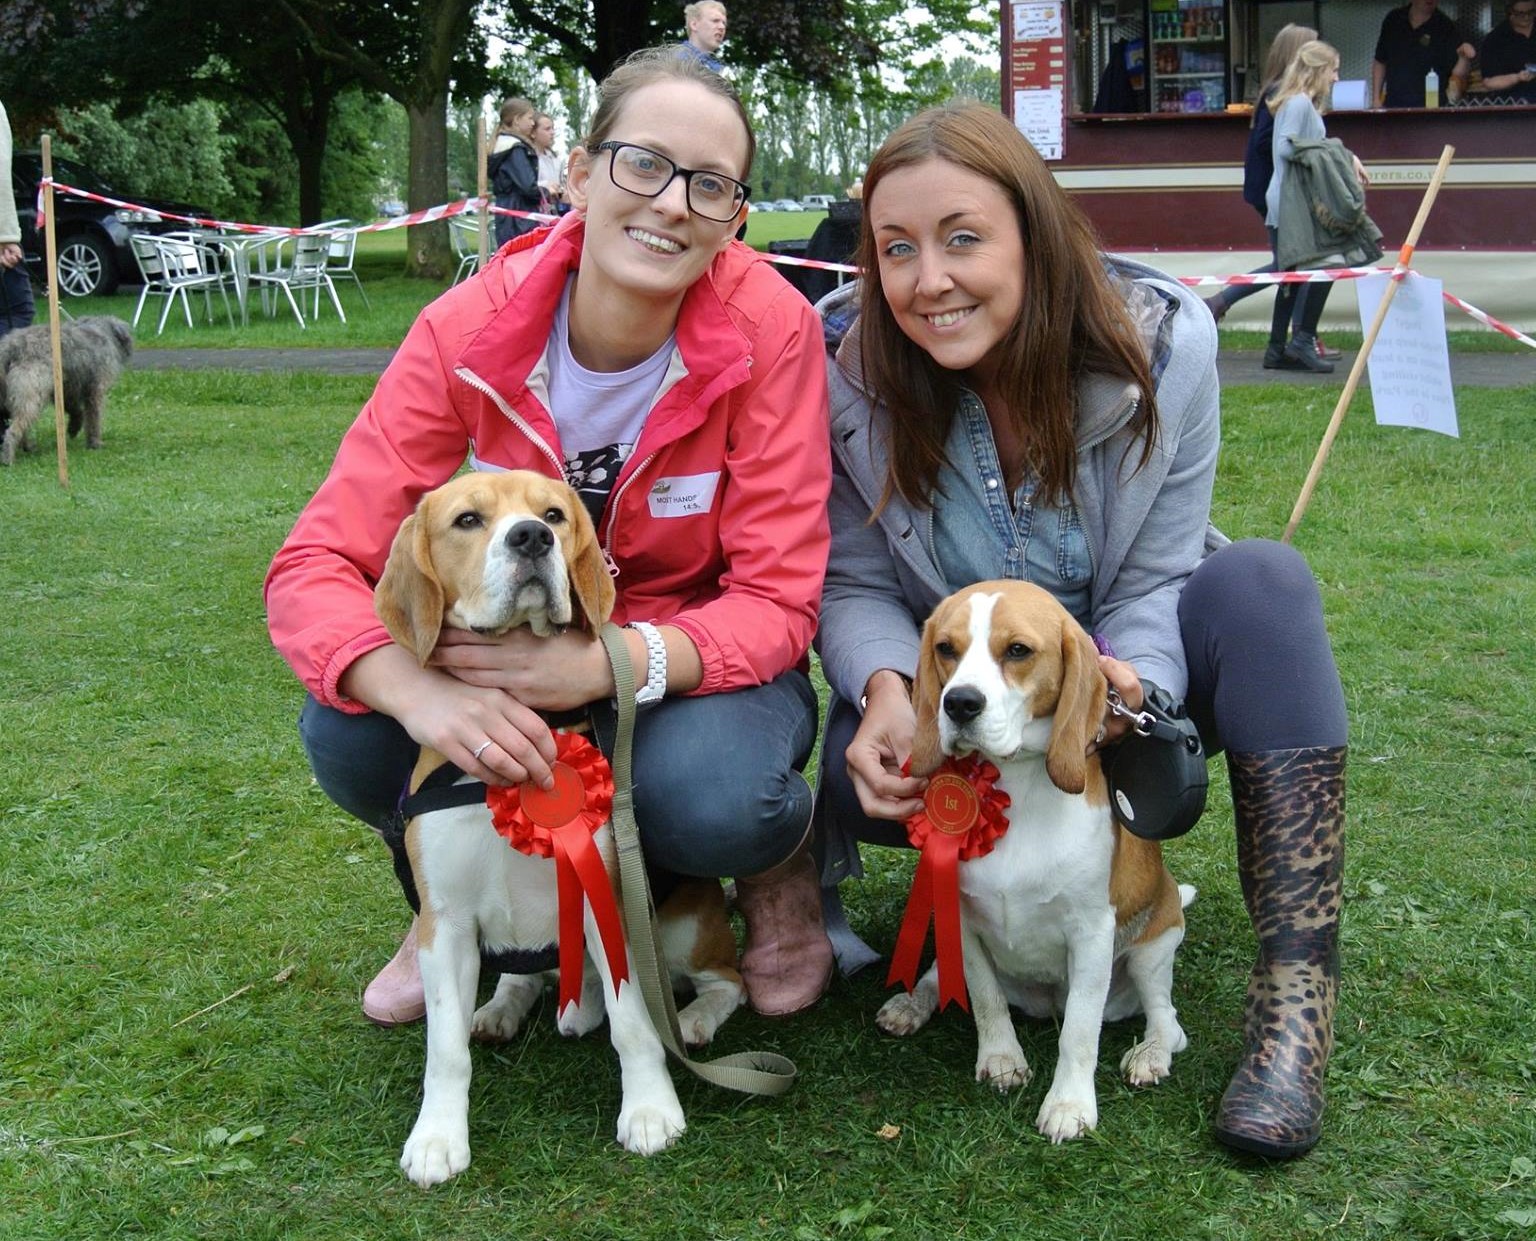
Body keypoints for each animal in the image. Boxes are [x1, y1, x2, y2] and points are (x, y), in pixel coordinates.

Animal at [0, 314, 135, 466]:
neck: (105, 330)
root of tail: (11, 346)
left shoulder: (66, 388)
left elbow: (75, 409)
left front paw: (73, 428)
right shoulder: (95, 390)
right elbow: (93, 416)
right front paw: (94, 442)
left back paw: (27, 446)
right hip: (31, 395)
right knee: (14, 430)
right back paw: (9, 457)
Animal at [374, 469, 740, 1185]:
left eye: (552, 515)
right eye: (467, 520)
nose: (530, 538)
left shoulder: (609, 903)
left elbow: (633, 1026)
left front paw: (651, 1110)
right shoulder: (444, 924)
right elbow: (444, 1049)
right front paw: (437, 1136)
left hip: (683, 928)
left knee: (723, 983)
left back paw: (695, 1020)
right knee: (526, 974)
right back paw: (505, 1007)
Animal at [878, 580, 1185, 1142]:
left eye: (1017, 650)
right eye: (946, 648)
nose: (959, 703)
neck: (1015, 782)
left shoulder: (1091, 934)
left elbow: (1080, 1031)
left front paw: (1069, 1104)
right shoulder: (962, 921)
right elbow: (985, 999)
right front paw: (1000, 1059)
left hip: (1154, 948)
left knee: (1168, 1021)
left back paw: (1150, 1055)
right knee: (939, 976)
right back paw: (913, 1002)